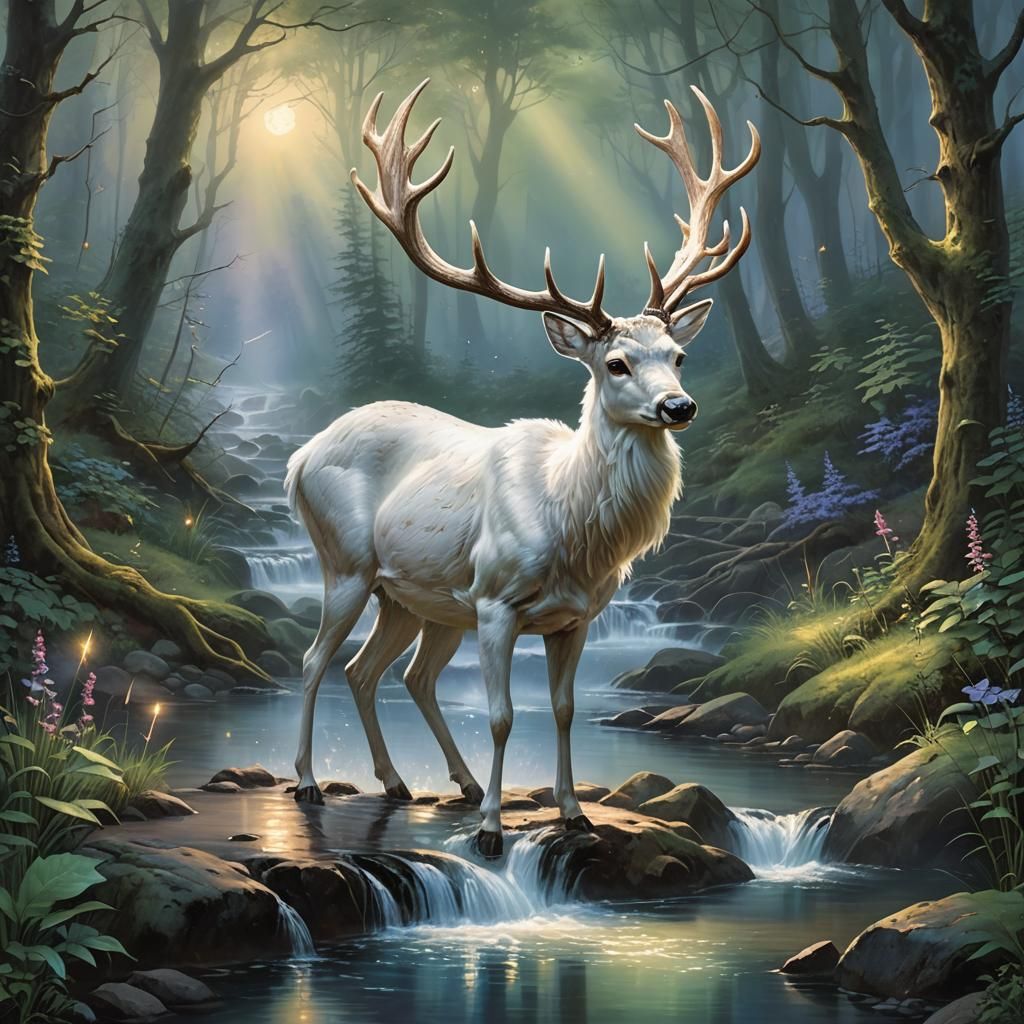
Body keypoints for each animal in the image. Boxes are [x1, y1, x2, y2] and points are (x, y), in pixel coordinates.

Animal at [286, 79, 759, 857]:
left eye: (679, 355)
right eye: (616, 362)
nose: (679, 406)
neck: (573, 528)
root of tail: (298, 456)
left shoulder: (578, 616)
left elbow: (562, 710)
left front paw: (572, 813)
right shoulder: (495, 601)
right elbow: (505, 714)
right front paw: (490, 831)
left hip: (414, 597)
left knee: (384, 672)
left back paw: (414, 781)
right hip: (347, 564)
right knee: (315, 660)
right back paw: (307, 780)